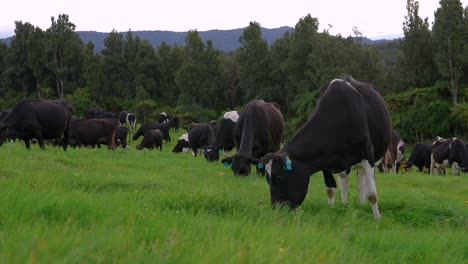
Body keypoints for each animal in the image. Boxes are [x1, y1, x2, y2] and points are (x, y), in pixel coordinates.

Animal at [260, 77, 392, 221]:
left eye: (278, 177)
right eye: (267, 179)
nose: (277, 209)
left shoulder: (368, 157)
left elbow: (372, 194)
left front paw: (377, 217)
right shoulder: (325, 161)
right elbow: (330, 189)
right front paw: (331, 211)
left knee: (362, 183)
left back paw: (362, 204)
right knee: (346, 184)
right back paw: (345, 205)